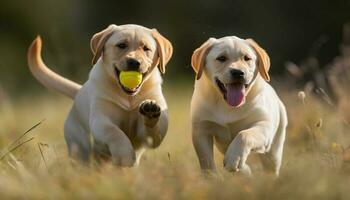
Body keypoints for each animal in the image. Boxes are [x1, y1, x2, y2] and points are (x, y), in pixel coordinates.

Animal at [28, 24, 173, 166]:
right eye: (121, 45)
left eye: (146, 48)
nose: (134, 62)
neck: (129, 97)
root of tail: (79, 92)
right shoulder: (100, 119)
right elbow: (114, 132)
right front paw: (124, 155)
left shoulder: (149, 133)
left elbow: (154, 131)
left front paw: (150, 110)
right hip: (79, 146)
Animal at [191, 36, 288, 176]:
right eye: (221, 58)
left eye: (247, 58)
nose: (238, 72)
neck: (227, 105)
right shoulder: (201, 131)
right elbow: (207, 163)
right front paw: (213, 178)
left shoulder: (264, 125)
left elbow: (244, 134)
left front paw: (234, 159)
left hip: (273, 150)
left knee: (271, 169)